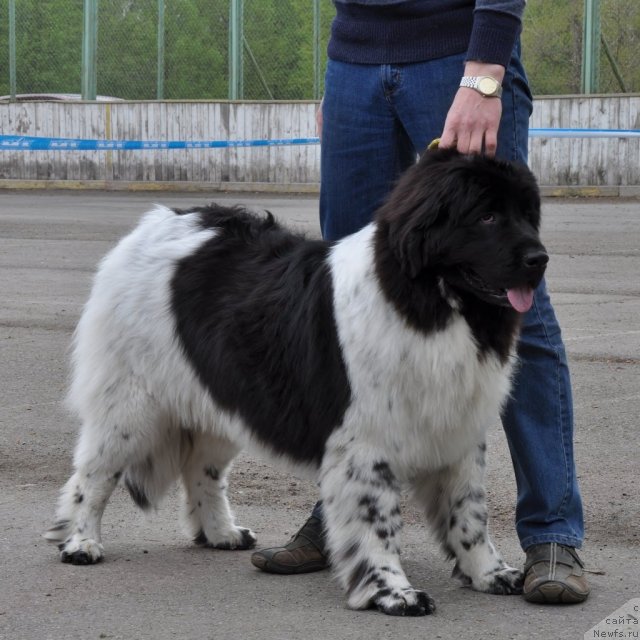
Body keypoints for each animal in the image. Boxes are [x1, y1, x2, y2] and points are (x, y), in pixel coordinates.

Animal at [46, 149, 544, 616]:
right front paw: (393, 592)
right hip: (132, 406)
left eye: (527, 214)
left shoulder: (458, 429)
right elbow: (378, 522)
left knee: (203, 470)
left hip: (224, 396)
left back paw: (222, 533)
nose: (540, 259)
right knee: (93, 474)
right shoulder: (365, 444)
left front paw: (490, 573)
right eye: (487, 216)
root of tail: (158, 220)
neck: (429, 301)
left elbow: (469, 513)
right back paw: (80, 542)